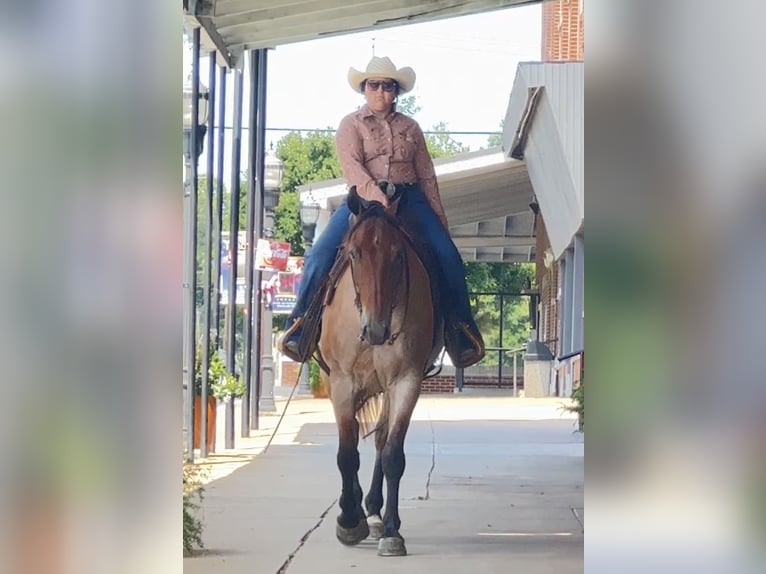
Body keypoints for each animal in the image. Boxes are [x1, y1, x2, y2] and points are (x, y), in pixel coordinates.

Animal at [317, 186, 443, 557]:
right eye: (354, 254)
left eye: (398, 255)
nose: (376, 329)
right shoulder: (341, 382)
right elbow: (347, 454)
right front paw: (348, 519)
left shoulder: (406, 381)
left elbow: (392, 454)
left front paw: (390, 530)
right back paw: (359, 509)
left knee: (380, 439)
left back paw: (373, 508)